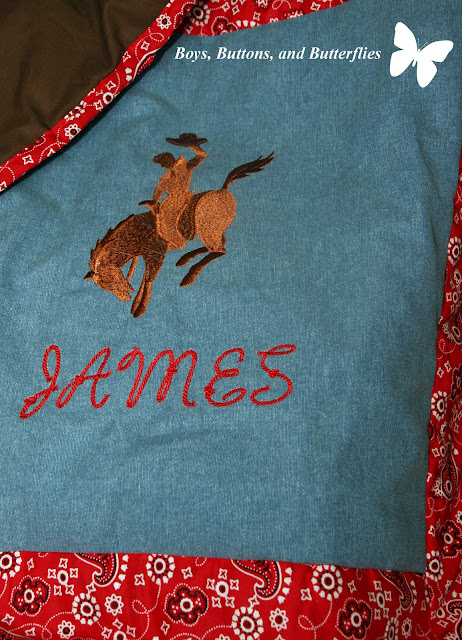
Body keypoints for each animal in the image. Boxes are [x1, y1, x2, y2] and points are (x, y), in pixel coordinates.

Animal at [85, 152, 274, 317]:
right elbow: (139, 273)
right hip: (211, 231)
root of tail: (224, 190)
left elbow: (147, 279)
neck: (138, 233)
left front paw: (138, 308)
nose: (124, 298)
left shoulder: (156, 255)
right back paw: (185, 259)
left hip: (207, 231)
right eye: (105, 286)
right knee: (219, 244)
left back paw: (189, 274)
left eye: (113, 281)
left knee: (220, 250)